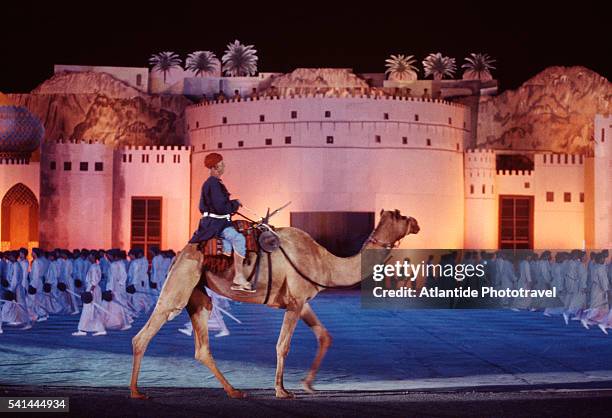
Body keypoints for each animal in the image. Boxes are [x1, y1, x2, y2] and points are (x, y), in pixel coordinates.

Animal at [130, 209, 420, 398]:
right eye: (400, 216)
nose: (416, 222)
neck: (325, 262)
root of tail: (181, 252)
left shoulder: (300, 301)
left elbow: (324, 336)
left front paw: (307, 384)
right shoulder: (295, 301)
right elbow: (283, 345)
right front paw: (281, 390)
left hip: (198, 295)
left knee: (202, 346)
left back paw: (234, 391)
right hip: (181, 281)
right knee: (147, 331)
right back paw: (135, 392)